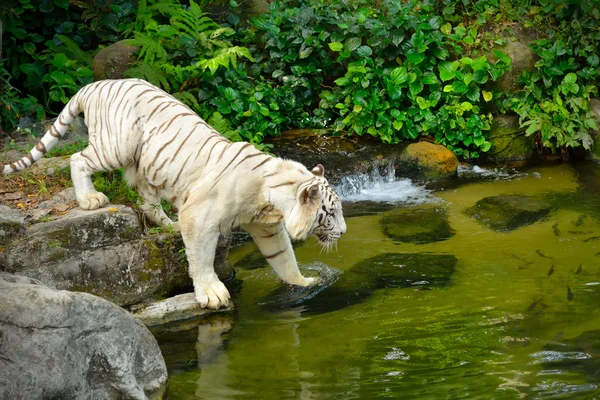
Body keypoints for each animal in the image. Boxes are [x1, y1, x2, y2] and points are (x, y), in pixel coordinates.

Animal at [3, 78, 346, 310]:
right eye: (329, 213)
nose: (343, 232)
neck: (270, 200)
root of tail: (96, 84)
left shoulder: (267, 227)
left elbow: (283, 257)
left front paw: (304, 283)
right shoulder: (200, 216)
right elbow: (201, 258)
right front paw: (212, 293)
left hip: (145, 166)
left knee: (145, 200)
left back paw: (170, 225)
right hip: (116, 146)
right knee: (78, 159)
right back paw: (90, 199)